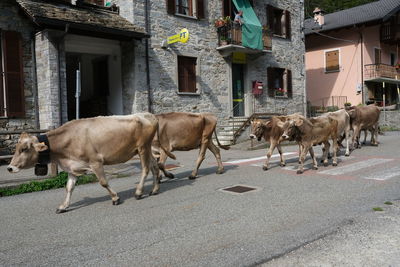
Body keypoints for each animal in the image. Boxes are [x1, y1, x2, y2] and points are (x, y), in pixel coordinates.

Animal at [5, 113, 173, 214]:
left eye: (24, 149)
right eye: (16, 148)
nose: (10, 167)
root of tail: (146, 114)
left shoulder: (96, 162)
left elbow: (103, 182)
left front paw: (115, 198)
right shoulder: (72, 167)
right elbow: (69, 188)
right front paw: (63, 206)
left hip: (143, 147)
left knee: (145, 168)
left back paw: (139, 192)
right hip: (145, 149)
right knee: (155, 166)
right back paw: (155, 189)